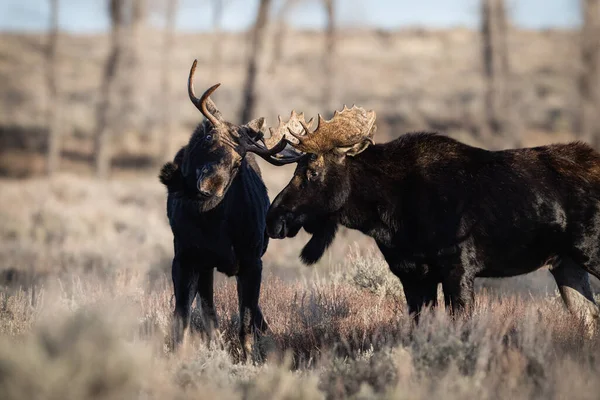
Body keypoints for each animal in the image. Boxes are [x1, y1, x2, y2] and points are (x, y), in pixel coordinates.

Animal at [158, 60, 296, 356]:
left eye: (238, 160)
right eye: (208, 138)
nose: (210, 186)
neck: (211, 224)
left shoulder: (252, 261)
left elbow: (245, 320)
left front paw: (249, 357)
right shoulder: (186, 257)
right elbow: (184, 317)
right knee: (208, 309)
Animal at [262, 106, 600, 328]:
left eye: (312, 172)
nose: (273, 218)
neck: (386, 217)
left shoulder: (458, 269)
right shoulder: (412, 275)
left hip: (589, 253)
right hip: (565, 264)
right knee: (589, 318)